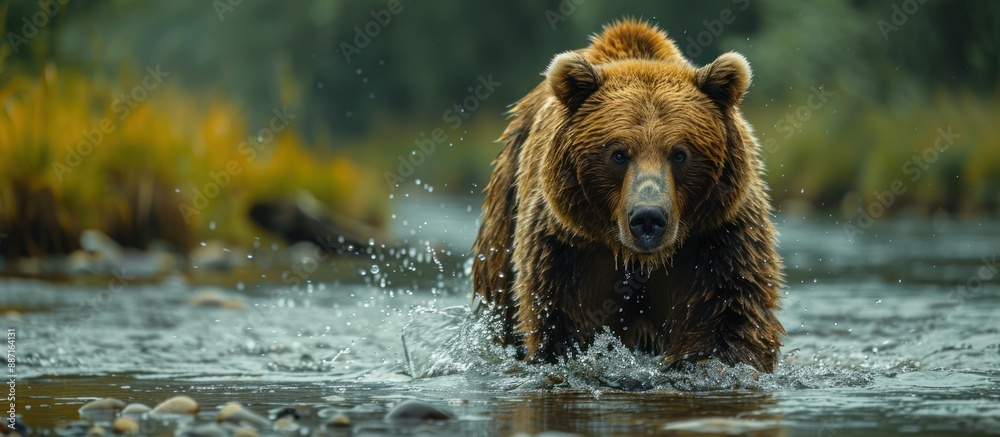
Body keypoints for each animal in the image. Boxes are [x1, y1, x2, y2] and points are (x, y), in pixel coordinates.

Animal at [471, 19, 784, 372]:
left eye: (679, 153)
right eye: (619, 154)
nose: (648, 218)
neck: (639, 260)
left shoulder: (718, 238)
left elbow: (731, 317)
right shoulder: (568, 250)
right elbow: (566, 323)